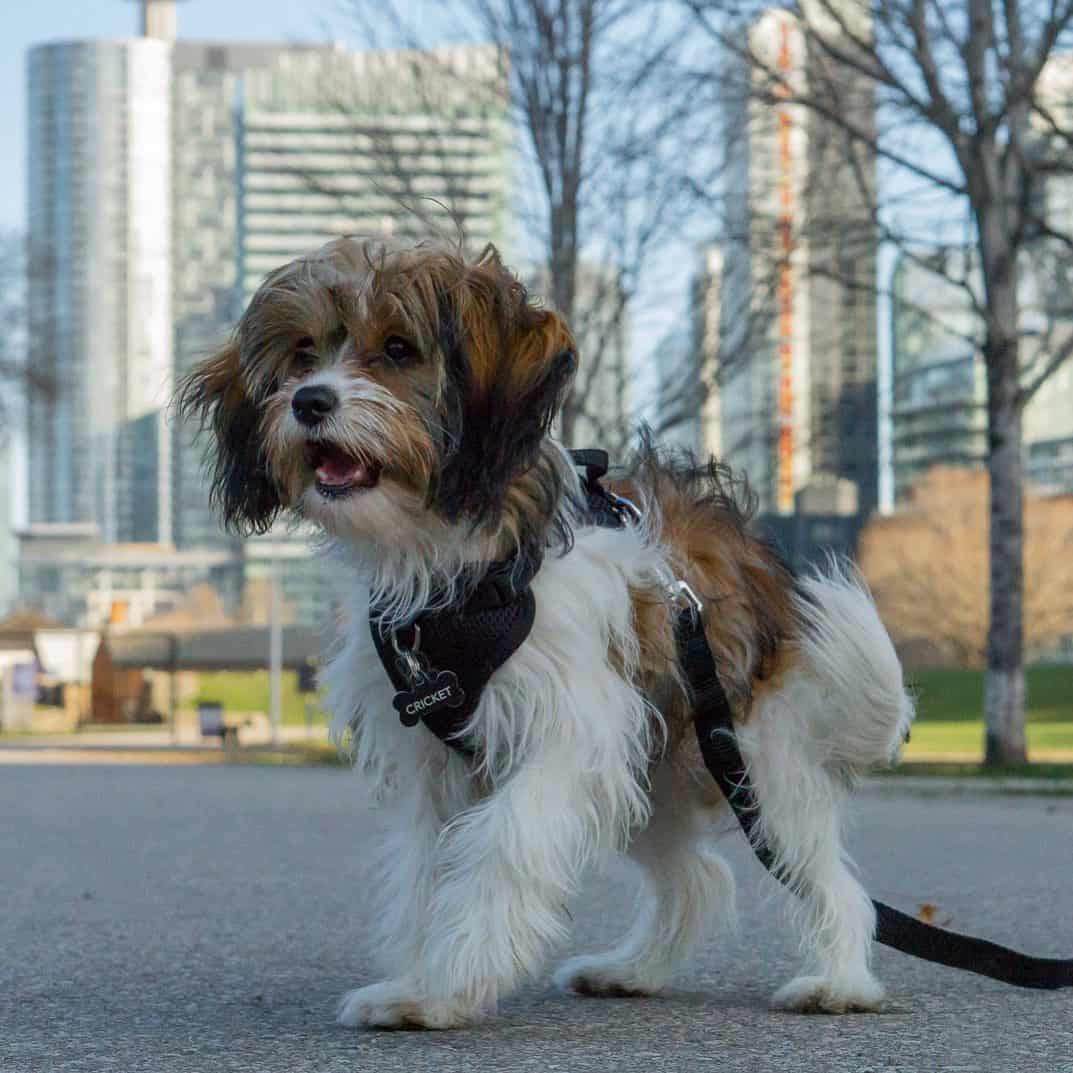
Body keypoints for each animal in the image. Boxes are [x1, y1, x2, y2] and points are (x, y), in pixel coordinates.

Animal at [178, 239, 914, 1025]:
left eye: (398, 348)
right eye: (302, 352)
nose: (309, 401)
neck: (457, 567)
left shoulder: (572, 734)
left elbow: (501, 843)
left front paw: (451, 980)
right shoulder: (440, 763)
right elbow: (425, 870)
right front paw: (419, 982)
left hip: (755, 762)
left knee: (824, 876)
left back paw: (838, 980)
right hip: (655, 768)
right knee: (694, 876)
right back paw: (633, 969)